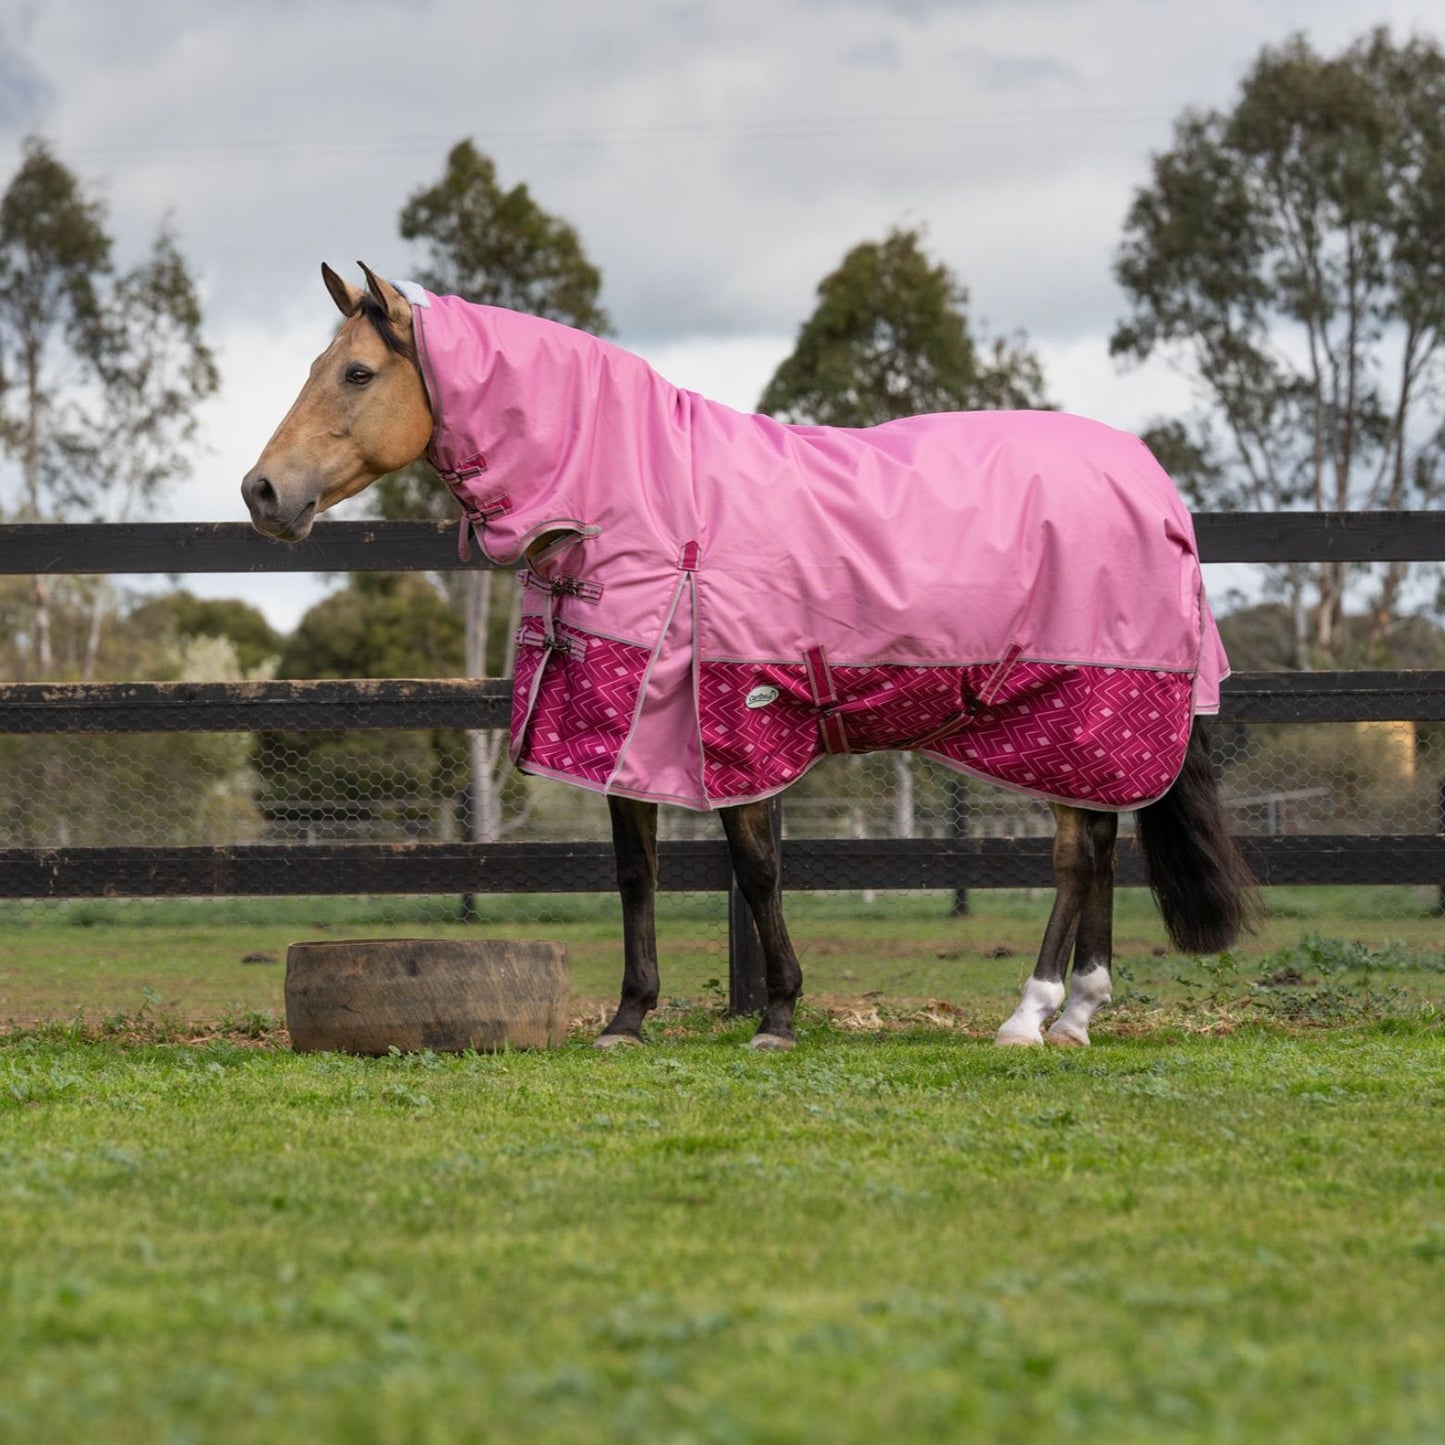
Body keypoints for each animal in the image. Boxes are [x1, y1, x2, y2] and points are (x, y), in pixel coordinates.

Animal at [243, 263, 1253, 1051]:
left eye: (358, 371)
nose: (261, 491)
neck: (648, 503)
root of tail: (1154, 484)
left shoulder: (735, 719)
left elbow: (756, 867)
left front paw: (777, 1015)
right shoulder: (623, 725)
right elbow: (635, 872)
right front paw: (628, 1018)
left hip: (1078, 706)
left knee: (1076, 858)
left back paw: (1027, 1016)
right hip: (1073, 729)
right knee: (1101, 843)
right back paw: (1077, 1014)